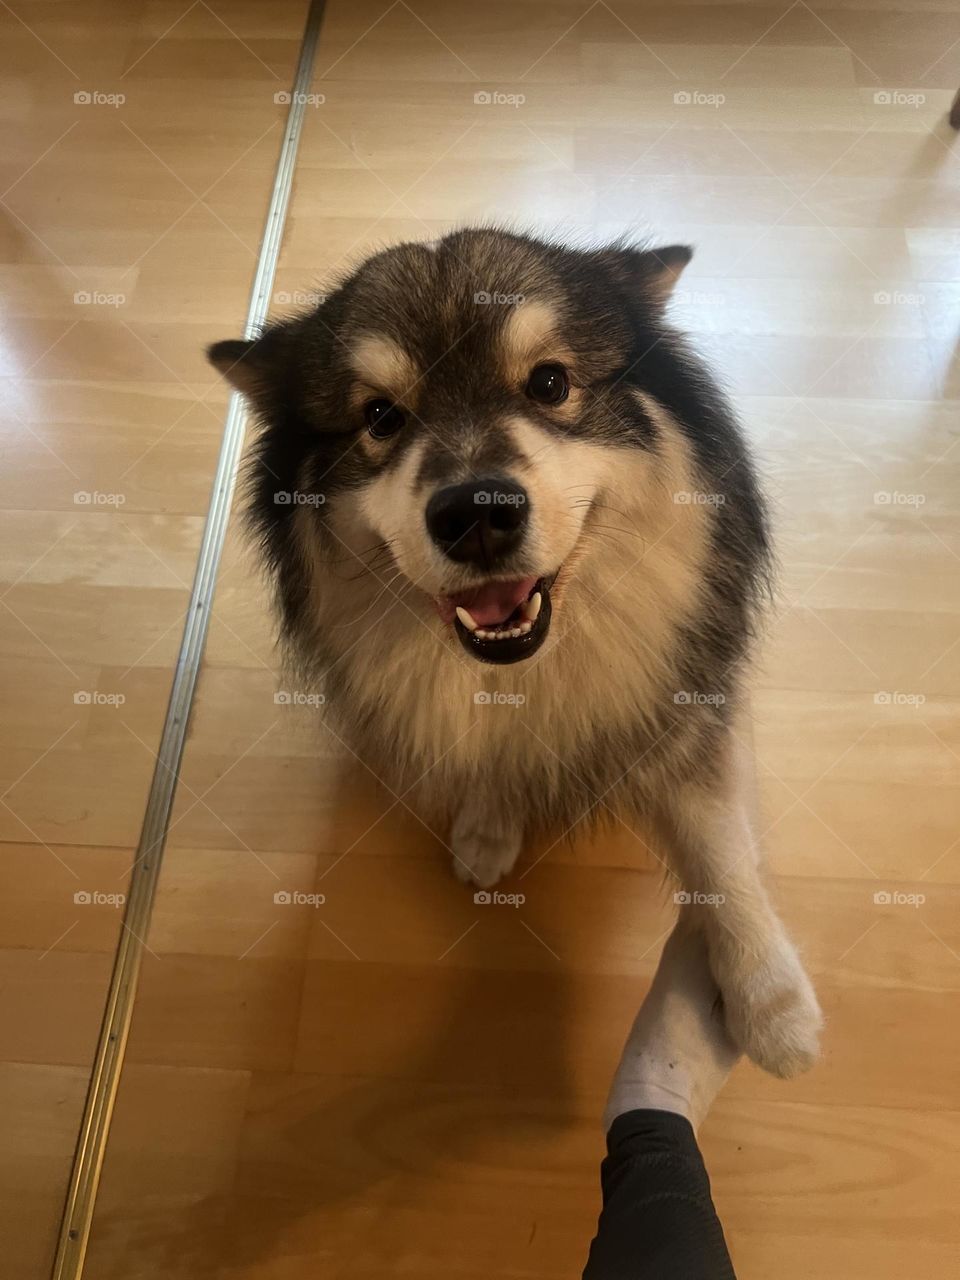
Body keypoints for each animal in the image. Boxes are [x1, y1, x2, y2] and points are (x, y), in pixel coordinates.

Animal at [209, 227, 829, 1080]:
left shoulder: (688, 713)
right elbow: (489, 757)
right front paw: (488, 824)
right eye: (381, 416)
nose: (476, 514)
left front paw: (771, 1002)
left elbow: (722, 849)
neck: (533, 664)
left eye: (549, 382)